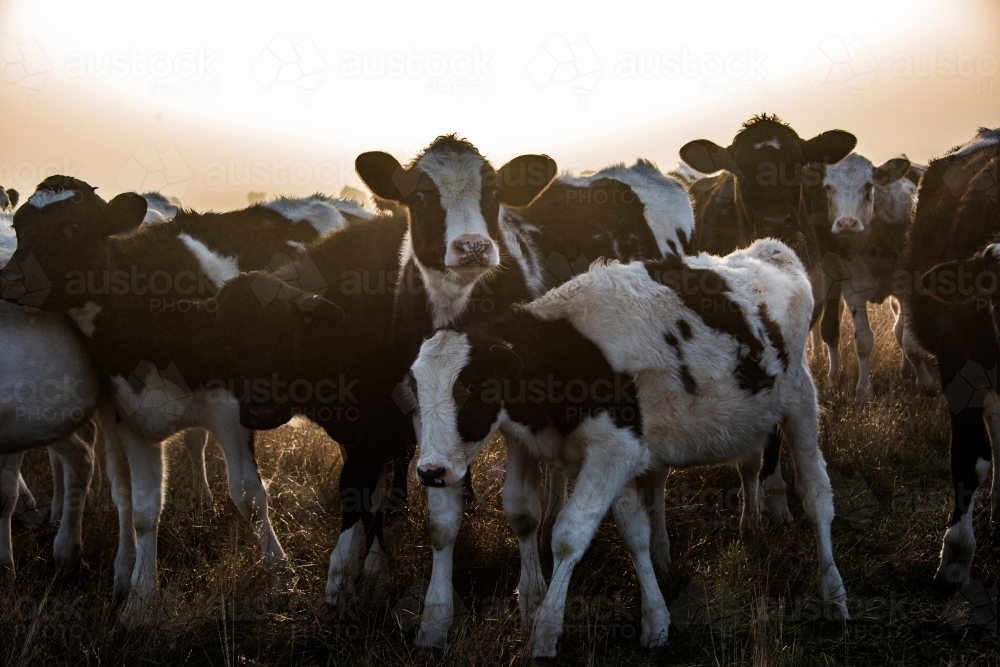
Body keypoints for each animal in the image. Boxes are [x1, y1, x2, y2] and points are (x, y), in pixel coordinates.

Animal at [410, 238, 848, 658]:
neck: (566, 354)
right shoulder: (570, 448)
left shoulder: (612, 450)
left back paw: (834, 594)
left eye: (473, 391)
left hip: (799, 401)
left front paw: (545, 634)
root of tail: (769, 250)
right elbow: (601, 526)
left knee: (816, 495)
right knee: (748, 466)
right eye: (416, 393)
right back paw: (748, 529)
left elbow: (569, 535)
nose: (431, 471)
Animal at [801, 153, 934, 402]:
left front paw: (925, 383)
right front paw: (863, 391)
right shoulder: (853, 290)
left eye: (868, 186)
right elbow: (863, 341)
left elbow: (910, 342)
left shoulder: (909, 287)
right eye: (828, 187)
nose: (847, 223)